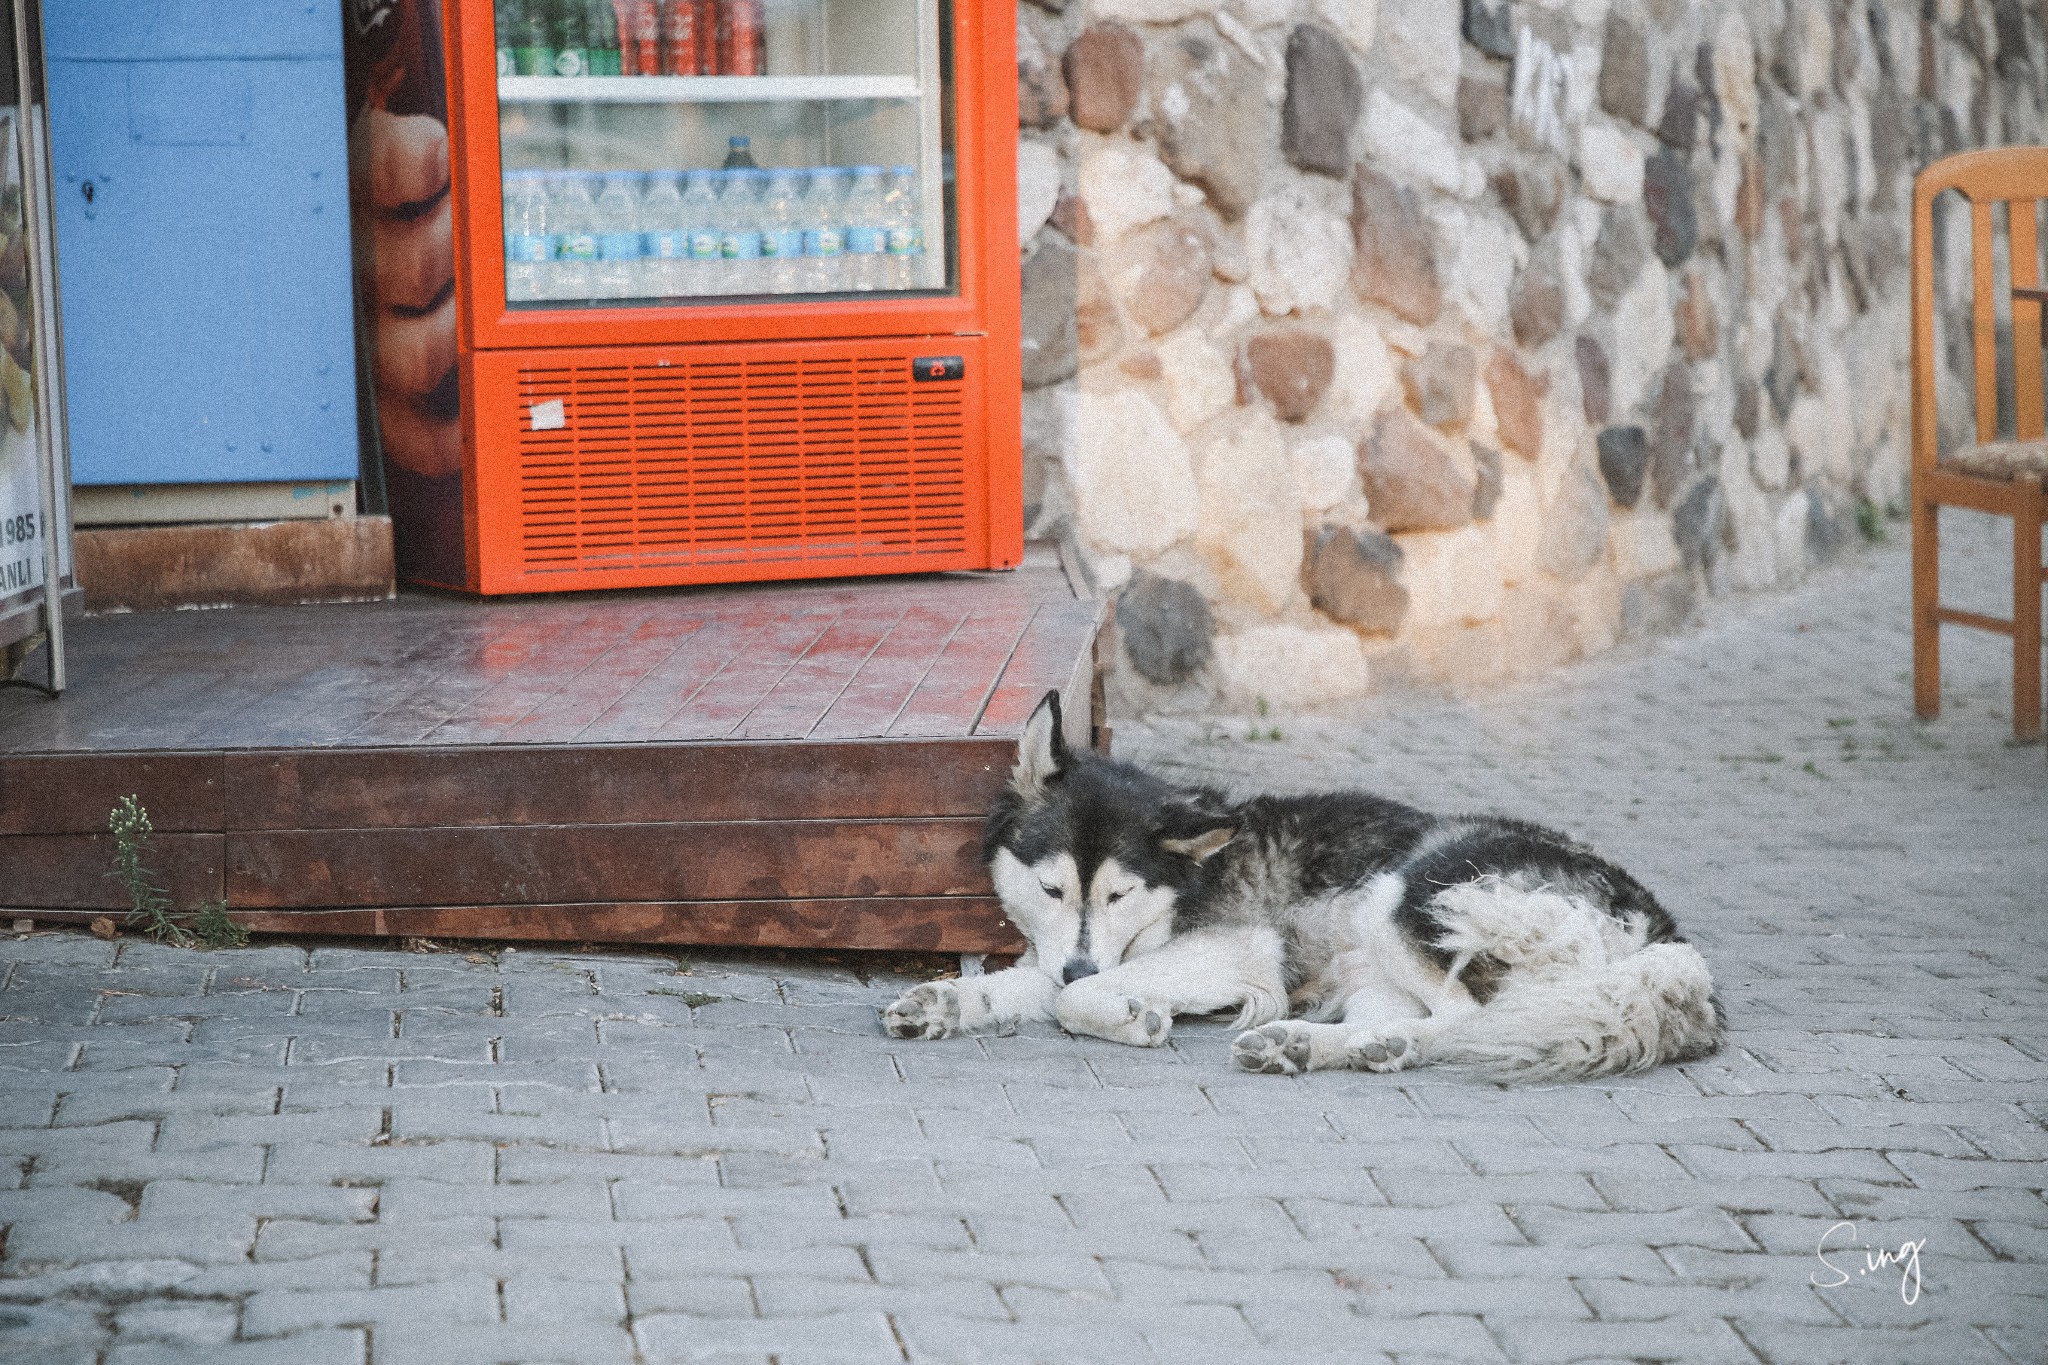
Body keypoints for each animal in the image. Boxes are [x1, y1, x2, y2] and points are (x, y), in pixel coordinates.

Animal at [880, 695, 1712, 1080]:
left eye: (1117, 896)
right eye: (1053, 891)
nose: (1082, 961)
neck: (1189, 882)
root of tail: (1665, 939)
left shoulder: (1234, 951)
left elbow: (1071, 998)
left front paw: (1133, 1016)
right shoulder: (1067, 952)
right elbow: (1029, 983)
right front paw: (945, 1000)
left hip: (1408, 890)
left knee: (1472, 1017)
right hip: (1377, 965)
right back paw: (1315, 1044)